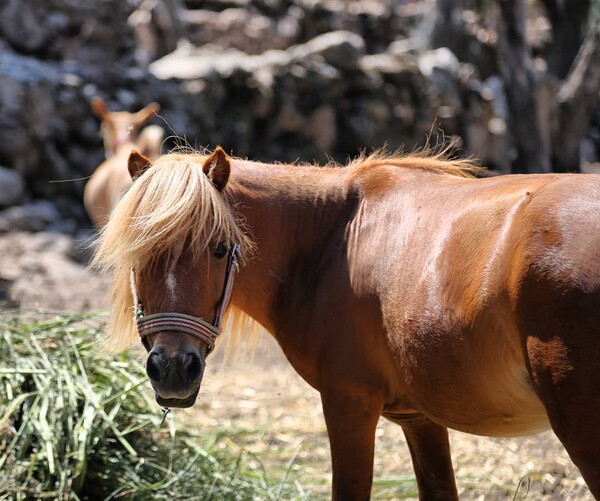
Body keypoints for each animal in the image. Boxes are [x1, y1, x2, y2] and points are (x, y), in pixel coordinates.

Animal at [94, 146, 600, 498]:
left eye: (219, 248)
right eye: (138, 251)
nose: (173, 370)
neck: (329, 239)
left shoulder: (348, 406)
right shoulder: (420, 420)